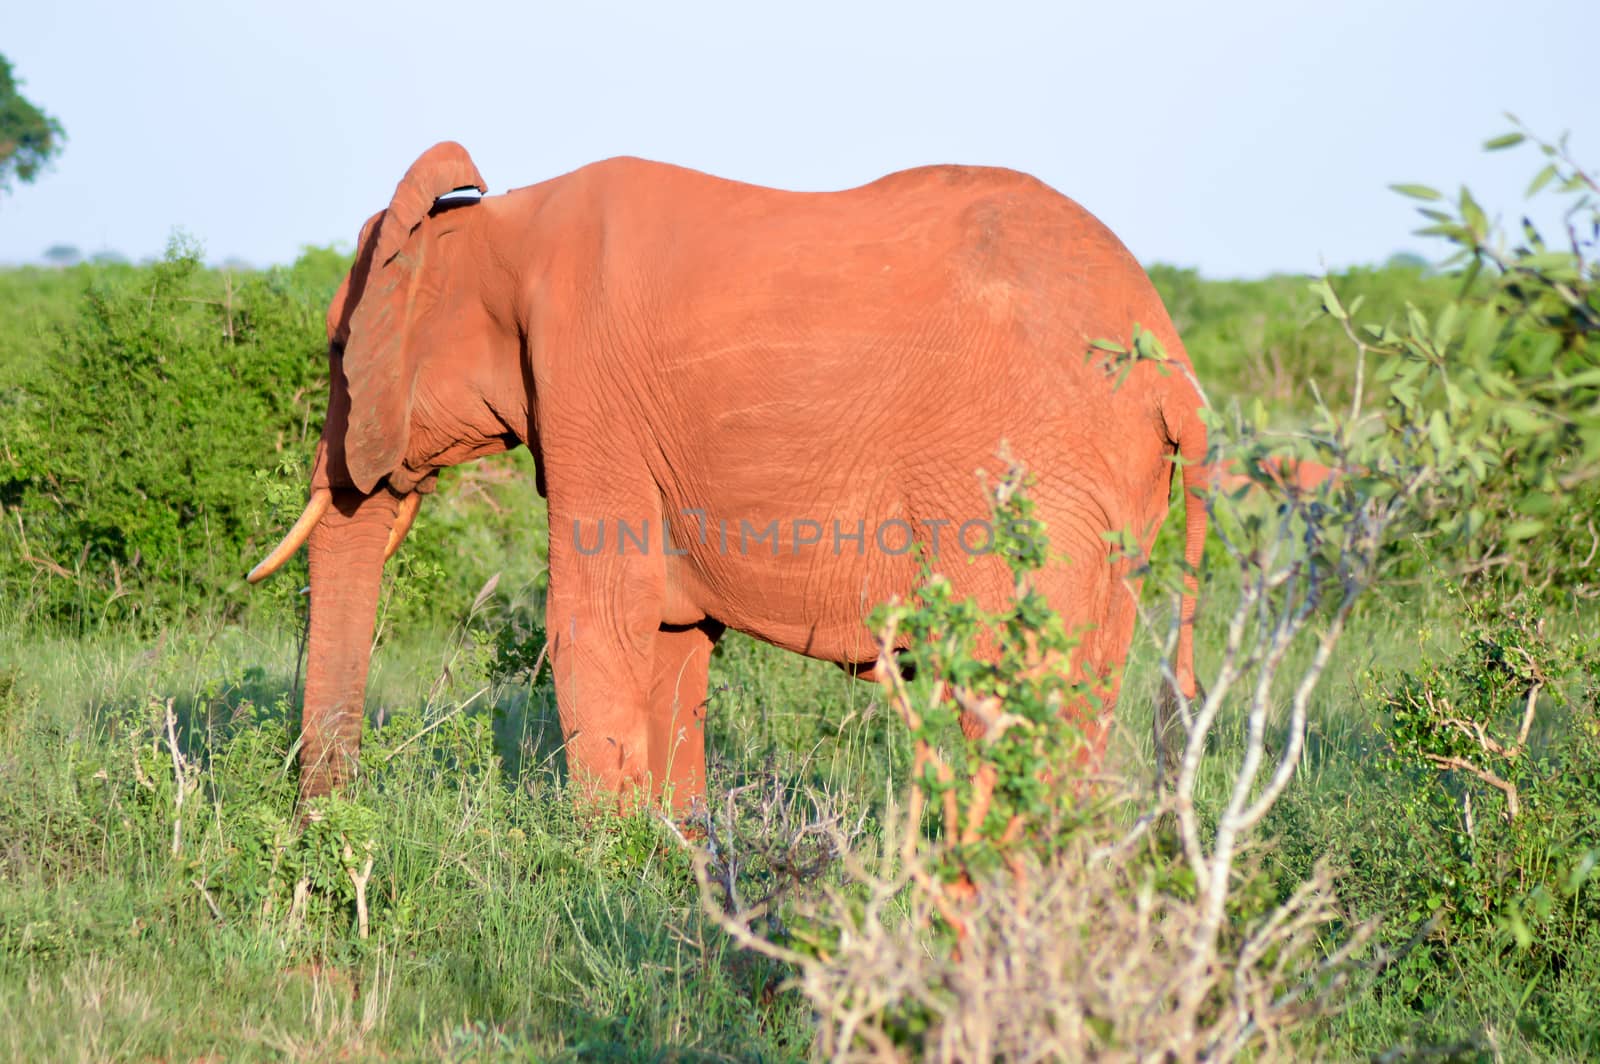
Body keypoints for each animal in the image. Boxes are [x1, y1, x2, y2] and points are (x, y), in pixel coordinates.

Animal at [249, 139, 1203, 806]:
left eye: (336, 350)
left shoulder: (588, 389)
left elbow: (594, 618)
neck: (499, 224)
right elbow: (673, 636)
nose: (327, 823)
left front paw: (601, 865)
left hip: (1028, 477)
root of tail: (1172, 362)